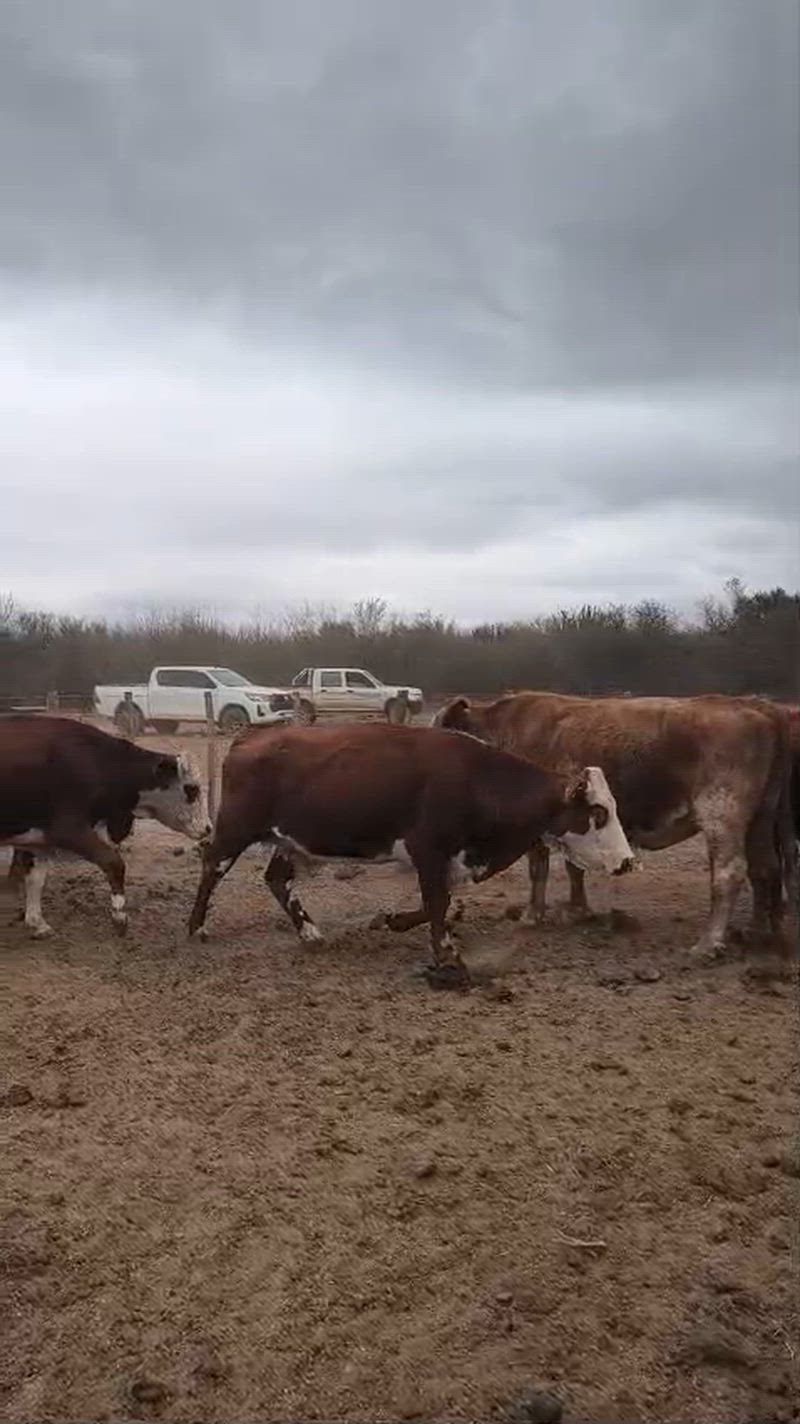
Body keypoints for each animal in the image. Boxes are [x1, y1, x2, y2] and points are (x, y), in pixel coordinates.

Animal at [1, 716, 210, 936]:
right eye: (192, 789)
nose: (208, 828)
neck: (99, 762)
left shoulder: (41, 840)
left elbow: (36, 879)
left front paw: (37, 922)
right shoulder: (69, 831)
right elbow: (114, 863)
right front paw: (119, 916)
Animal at [187, 722, 634, 988]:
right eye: (598, 812)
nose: (628, 861)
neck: (477, 779)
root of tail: (250, 737)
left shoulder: (444, 859)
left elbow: (436, 903)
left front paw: (395, 921)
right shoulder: (429, 850)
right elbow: (436, 904)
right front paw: (447, 957)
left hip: (289, 842)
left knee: (277, 880)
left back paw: (310, 933)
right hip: (236, 830)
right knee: (212, 865)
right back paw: (196, 927)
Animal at [433, 692, 797, 957]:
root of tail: (759, 709)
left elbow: (540, 869)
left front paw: (532, 915)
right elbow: (573, 867)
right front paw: (577, 910)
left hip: (722, 817)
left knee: (729, 873)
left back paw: (708, 943)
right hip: (760, 820)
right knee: (765, 868)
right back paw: (757, 934)